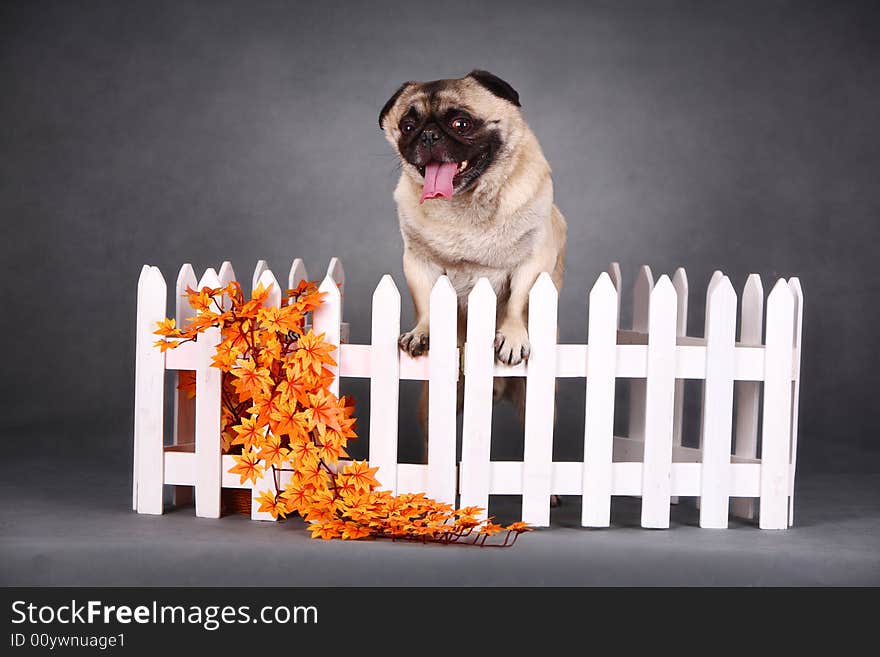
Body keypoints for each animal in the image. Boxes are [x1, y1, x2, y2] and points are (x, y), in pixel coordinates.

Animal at [378, 69, 564, 452]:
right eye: (408, 126)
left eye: (461, 123)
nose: (428, 134)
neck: (465, 206)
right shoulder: (418, 263)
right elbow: (427, 303)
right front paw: (423, 332)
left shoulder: (534, 258)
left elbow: (519, 301)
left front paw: (512, 335)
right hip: (436, 405)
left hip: (538, 406)